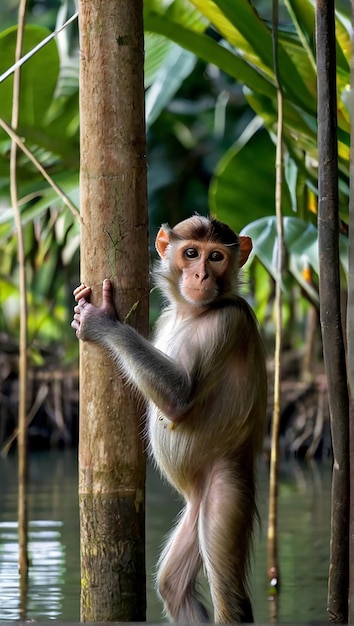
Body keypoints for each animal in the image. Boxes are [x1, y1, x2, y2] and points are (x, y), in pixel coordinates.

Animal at [71, 213, 266, 620]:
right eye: (192, 253)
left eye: (216, 257)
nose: (202, 275)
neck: (194, 311)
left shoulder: (225, 324)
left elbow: (177, 399)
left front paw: (103, 324)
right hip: (197, 507)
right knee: (173, 585)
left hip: (227, 492)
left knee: (229, 595)